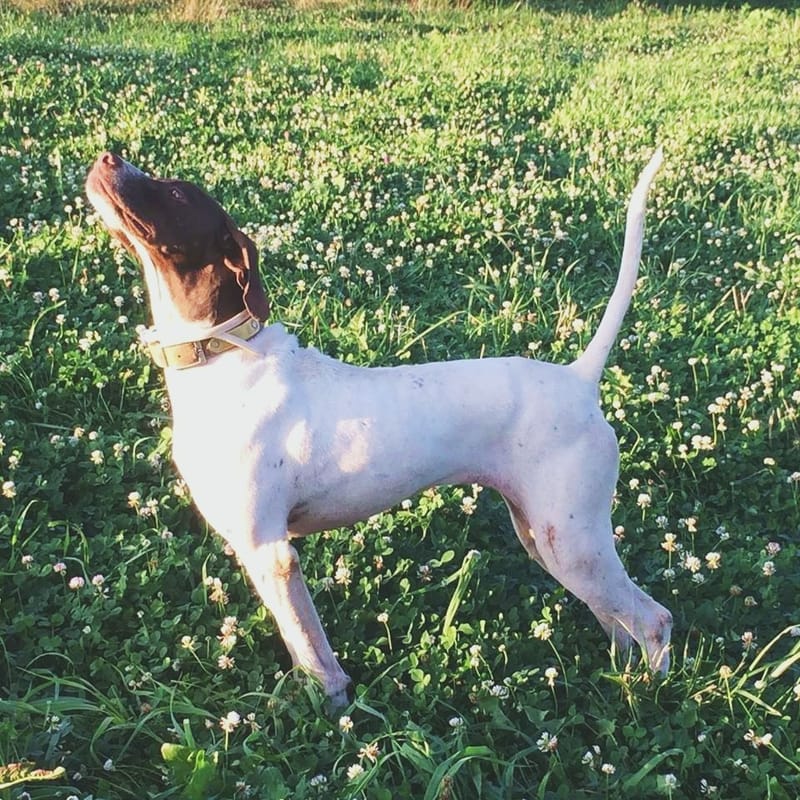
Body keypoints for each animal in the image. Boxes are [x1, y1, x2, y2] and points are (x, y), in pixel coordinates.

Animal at [87, 148, 672, 708]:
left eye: (175, 193)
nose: (106, 158)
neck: (222, 355)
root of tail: (580, 378)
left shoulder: (271, 554)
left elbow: (311, 652)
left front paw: (332, 712)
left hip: (572, 543)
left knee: (653, 619)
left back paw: (648, 696)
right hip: (548, 538)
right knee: (615, 619)